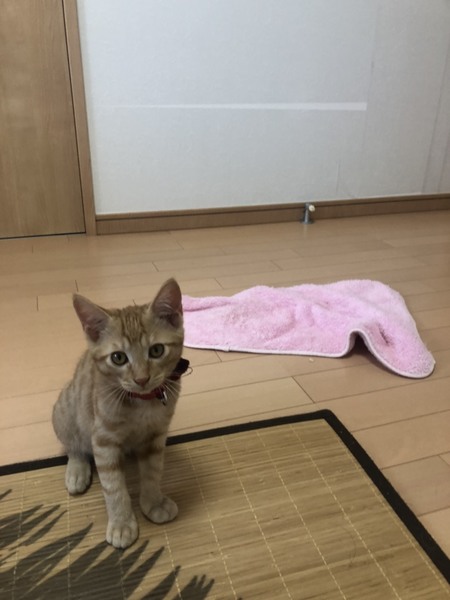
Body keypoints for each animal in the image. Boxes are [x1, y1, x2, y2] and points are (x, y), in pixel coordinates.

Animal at [52, 278, 189, 549]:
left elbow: (153, 471)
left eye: (156, 351)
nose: (141, 379)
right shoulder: (103, 441)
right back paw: (77, 470)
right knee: (74, 446)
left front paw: (153, 502)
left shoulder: (156, 436)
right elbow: (113, 487)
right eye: (118, 358)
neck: (143, 403)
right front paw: (122, 523)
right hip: (65, 411)